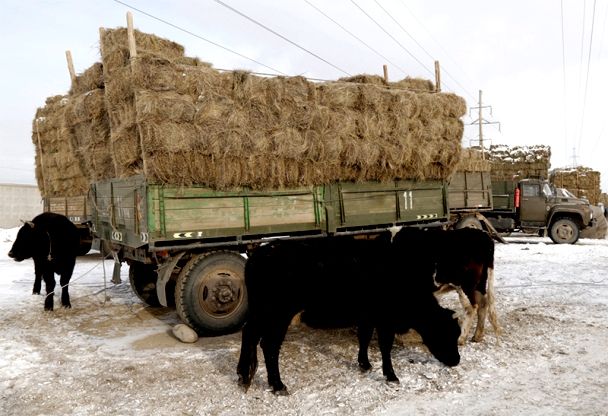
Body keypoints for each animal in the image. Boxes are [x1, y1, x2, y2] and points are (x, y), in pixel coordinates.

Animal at [235, 232, 458, 394]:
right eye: (446, 333)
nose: (456, 360)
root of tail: (261, 254)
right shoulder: (385, 320)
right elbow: (385, 347)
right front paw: (391, 375)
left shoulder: (367, 316)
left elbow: (364, 337)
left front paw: (365, 364)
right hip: (278, 314)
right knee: (269, 345)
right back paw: (277, 384)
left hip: (261, 312)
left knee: (249, 334)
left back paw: (244, 376)